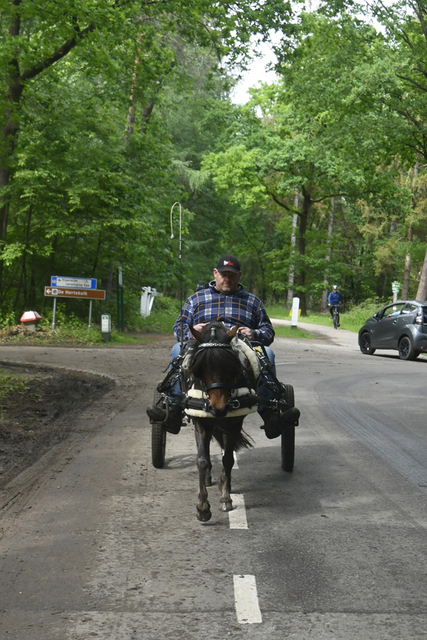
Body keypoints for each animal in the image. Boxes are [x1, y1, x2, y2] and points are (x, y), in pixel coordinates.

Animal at [184, 322, 258, 524]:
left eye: (230, 366)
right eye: (200, 367)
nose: (218, 408)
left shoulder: (233, 425)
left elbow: (228, 458)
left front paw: (226, 497)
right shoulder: (201, 422)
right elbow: (201, 459)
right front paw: (202, 508)